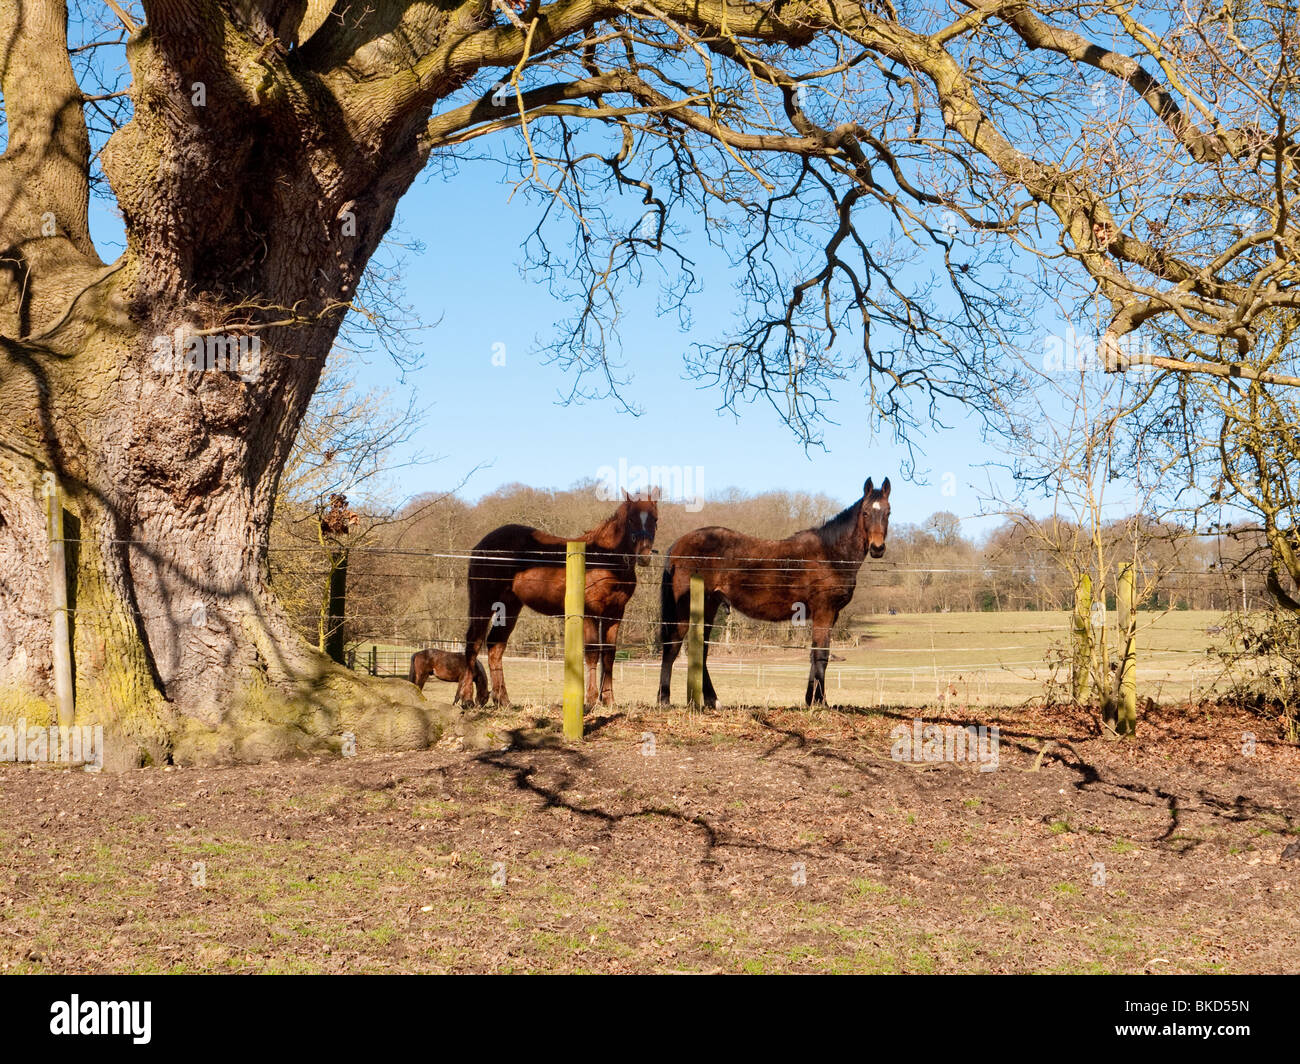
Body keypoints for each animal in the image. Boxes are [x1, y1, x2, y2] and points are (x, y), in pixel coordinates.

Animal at [460, 491, 660, 707]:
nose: (644, 556)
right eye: (631, 519)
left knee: (495, 646)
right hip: (483, 602)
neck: (605, 559)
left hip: (510, 606)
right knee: (473, 642)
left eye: (655, 519)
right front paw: (591, 700)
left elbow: (609, 655)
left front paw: (609, 700)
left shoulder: (615, 614)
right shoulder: (590, 612)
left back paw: (502, 700)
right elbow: (592, 653)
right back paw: (467, 698)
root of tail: (481, 546)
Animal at [655, 473, 889, 702]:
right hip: (686, 608)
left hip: (709, 606)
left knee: (701, 649)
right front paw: (820, 702)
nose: (877, 548)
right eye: (866, 513)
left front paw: (809, 699)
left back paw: (712, 700)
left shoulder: (829, 615)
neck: (831, 555)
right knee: (673, 645)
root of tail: (678, 544)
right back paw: (664, 699)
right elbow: (821, 655)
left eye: (888, 512)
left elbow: (814, 655)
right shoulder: (825, 611)